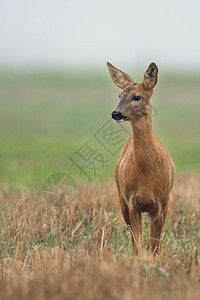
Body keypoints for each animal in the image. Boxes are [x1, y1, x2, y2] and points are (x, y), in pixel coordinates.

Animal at [107, 62, 174, 254]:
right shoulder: (131, 203)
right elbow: (139, 247)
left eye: (137, 97)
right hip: (121, 197)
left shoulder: (161, 204)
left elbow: (154, 247)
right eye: (119, 95)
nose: (116, 113)